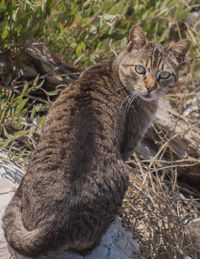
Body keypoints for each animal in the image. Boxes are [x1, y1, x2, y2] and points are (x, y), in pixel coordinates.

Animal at [1, 24, 189, 258]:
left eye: (164, 74)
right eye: (140, 69)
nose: (150, 88)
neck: (114, 70)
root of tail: (55, 225)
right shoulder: (130, 143)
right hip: (123, 177)